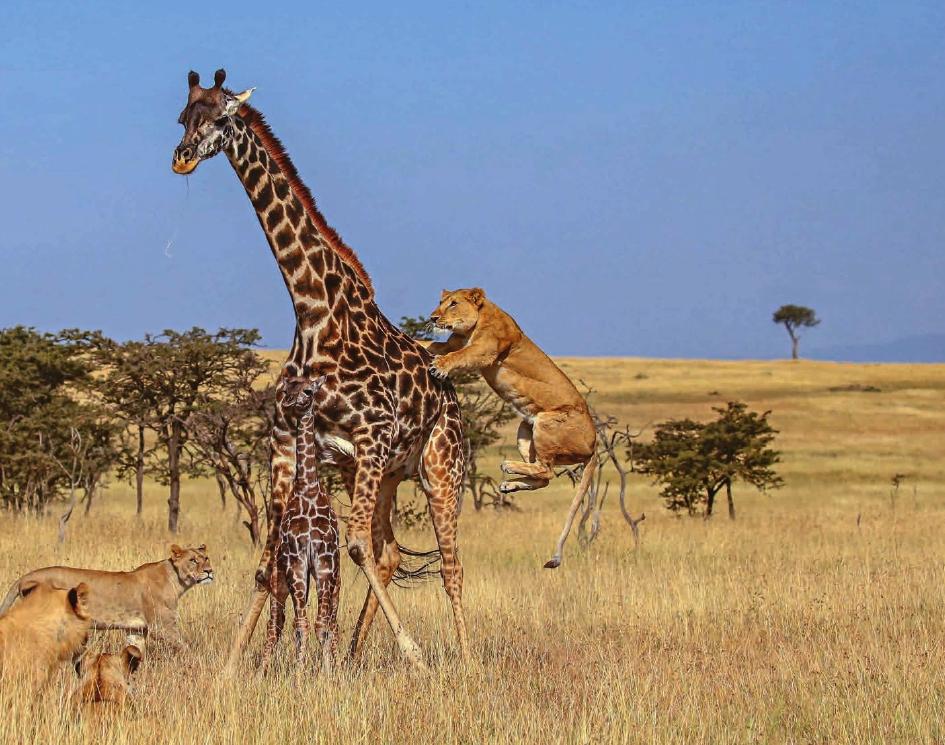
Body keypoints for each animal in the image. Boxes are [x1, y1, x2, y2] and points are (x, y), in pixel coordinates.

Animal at [260, 378, 342, 676]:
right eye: (287, 388)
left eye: (308, 390)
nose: (289, 402)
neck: (307, 488)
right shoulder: (296, 562)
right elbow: (302, 625)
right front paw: (299, 674)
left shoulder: (324, 563)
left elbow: (322, 625)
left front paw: (327, 675)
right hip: (280, 583)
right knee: (275, 625)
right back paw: (262, 672)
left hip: (332, 581)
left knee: (331, 623)